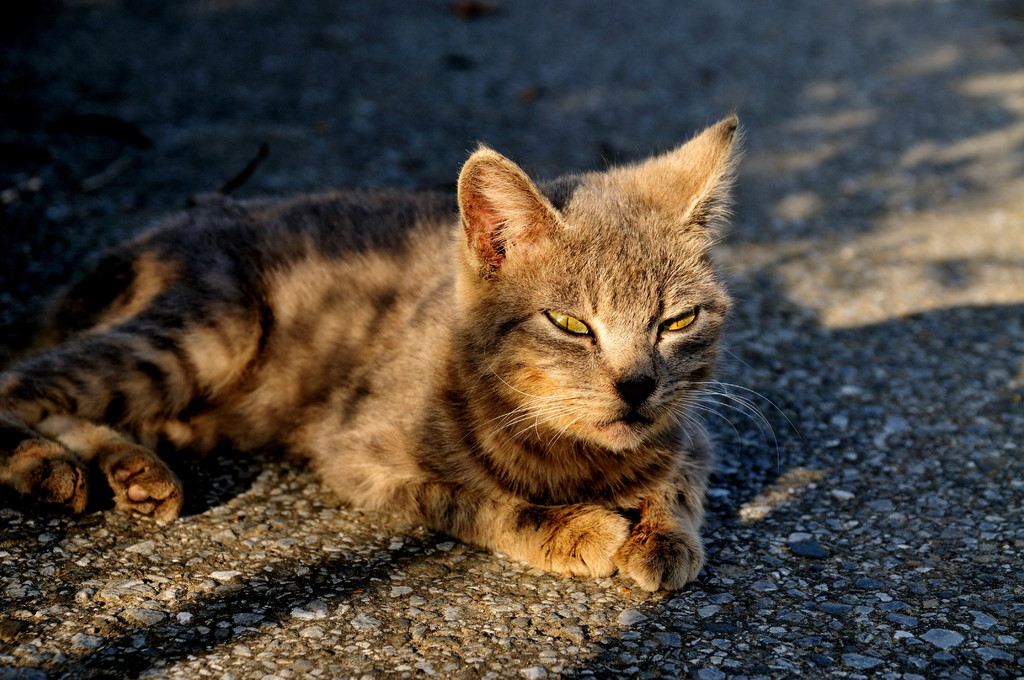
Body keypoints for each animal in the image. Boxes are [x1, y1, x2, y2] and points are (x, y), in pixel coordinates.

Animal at [0, 115, 741, 589]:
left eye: (676, 321)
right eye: (569, 323)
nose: (637, 386)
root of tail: (166, 229)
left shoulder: (692, 429)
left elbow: (681, 474)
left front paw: (664, 533)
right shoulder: (357, 453)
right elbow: (478, 502)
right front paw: (576, 529)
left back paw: (131, 468)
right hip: (208, 334)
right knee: (19, 381)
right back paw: (44, 464)